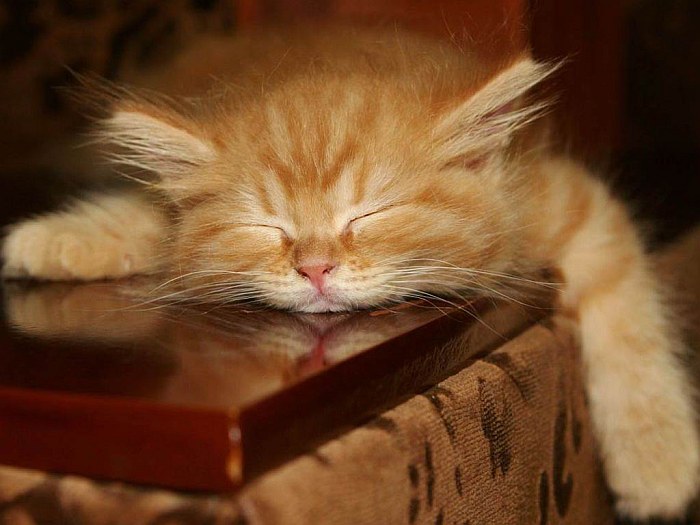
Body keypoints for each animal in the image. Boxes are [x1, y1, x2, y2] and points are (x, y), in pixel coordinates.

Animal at [1, 25, 698, 520]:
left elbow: (630, 324)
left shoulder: (566, 205)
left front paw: (656, 460)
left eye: (369, 214)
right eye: (270, 227)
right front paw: (53, 237)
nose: (315, 267)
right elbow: (146, 221)